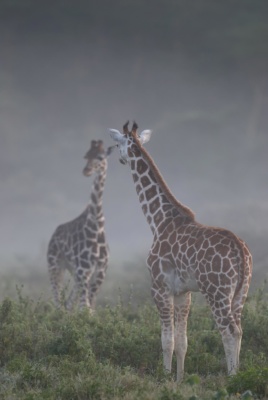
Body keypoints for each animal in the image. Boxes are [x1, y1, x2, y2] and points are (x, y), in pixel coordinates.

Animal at [47, 141, 114, 312]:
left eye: (101, 157)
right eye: (86, 156)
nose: (86, 170)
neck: (96, 226)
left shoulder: (100, 271)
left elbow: (89, 308)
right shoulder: (83, 270)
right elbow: (85, 308)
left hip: (74, 271)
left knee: (69, 302)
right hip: (55, 265)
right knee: (58, 299)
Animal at [108, 121, 252, 382]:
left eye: (118, 143)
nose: (119, 158)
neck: (158, 220)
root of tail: (241, 252)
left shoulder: (159, 286)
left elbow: (166, 340)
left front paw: (164, 377)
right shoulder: (184, 292)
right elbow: (182, 340)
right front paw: (179, 379)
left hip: (217, 291)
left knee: (229, 330)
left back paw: (232, 378)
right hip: (240, 292)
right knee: (240, 329)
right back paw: (238, 375)